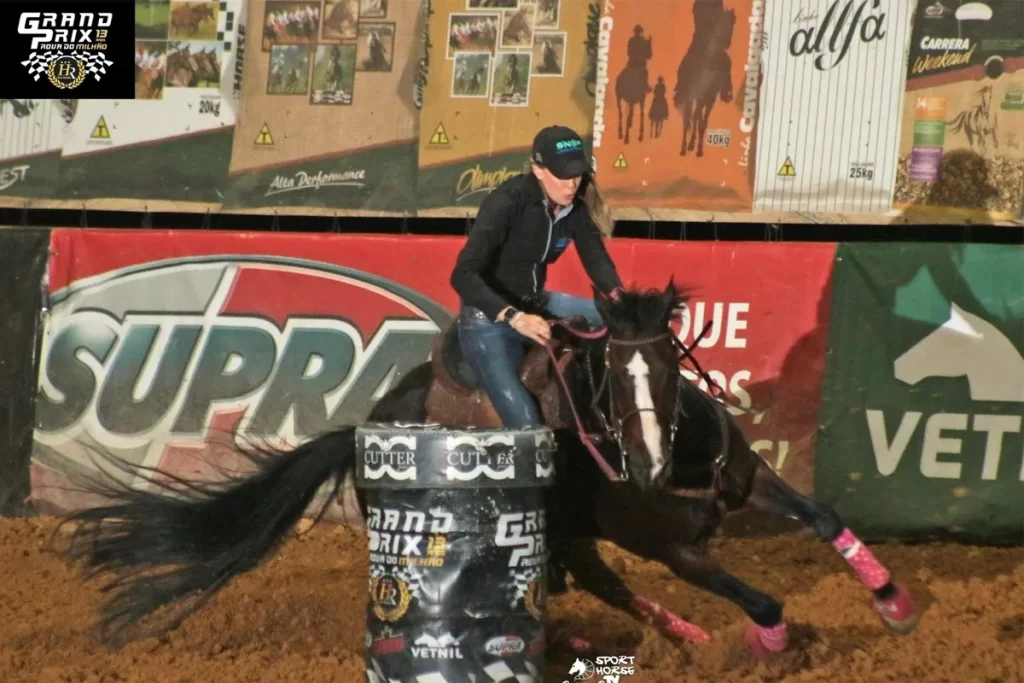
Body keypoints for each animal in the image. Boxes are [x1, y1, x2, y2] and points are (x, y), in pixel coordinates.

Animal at [56, 280, 921, 659]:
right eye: (612, 377)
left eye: (669, 369)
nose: (645, 468)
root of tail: (364, 425)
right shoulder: (674, 547)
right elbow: (759, 592)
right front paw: (771, 643)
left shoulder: (742, 479)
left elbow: (825, 517)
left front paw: (893, 601)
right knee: (596, 581)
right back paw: (669, 634)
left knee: (591, 577)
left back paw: (672, 631)